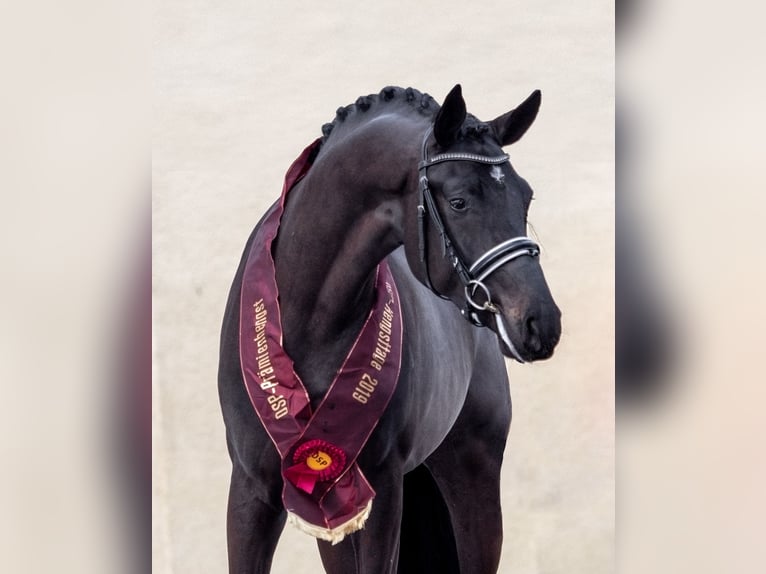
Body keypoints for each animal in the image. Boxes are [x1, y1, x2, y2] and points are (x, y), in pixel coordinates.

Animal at [219, 83, 560, 572]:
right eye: (459, 201)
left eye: (525, 196)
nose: (540, 322)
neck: (309, 321)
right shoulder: (251, 491)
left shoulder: (383, 492)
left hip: (473, 474)